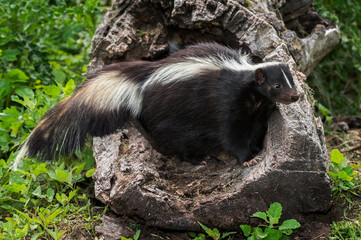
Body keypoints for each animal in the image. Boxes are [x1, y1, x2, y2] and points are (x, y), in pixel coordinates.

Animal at [14, 42, 300, 168]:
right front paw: (247, 159)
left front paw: (256, 149)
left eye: (292, 81)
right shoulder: (227, 102)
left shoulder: (255, 111)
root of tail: (144, 79)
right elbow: (231, 135)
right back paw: (196, 159)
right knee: (176, 137)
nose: (295, 96)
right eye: (277, 85)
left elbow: (255, 129)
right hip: (172, 112)